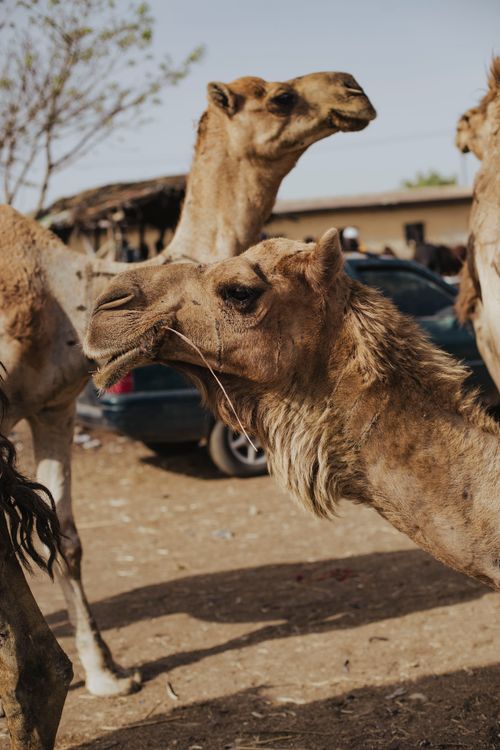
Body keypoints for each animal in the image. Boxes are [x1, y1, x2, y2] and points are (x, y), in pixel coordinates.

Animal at [0, 71, 376, 696]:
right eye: (280, 98)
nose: (353, 91)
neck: (66, 292)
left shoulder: (53, 408)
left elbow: (64, 537)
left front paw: (108, 674)